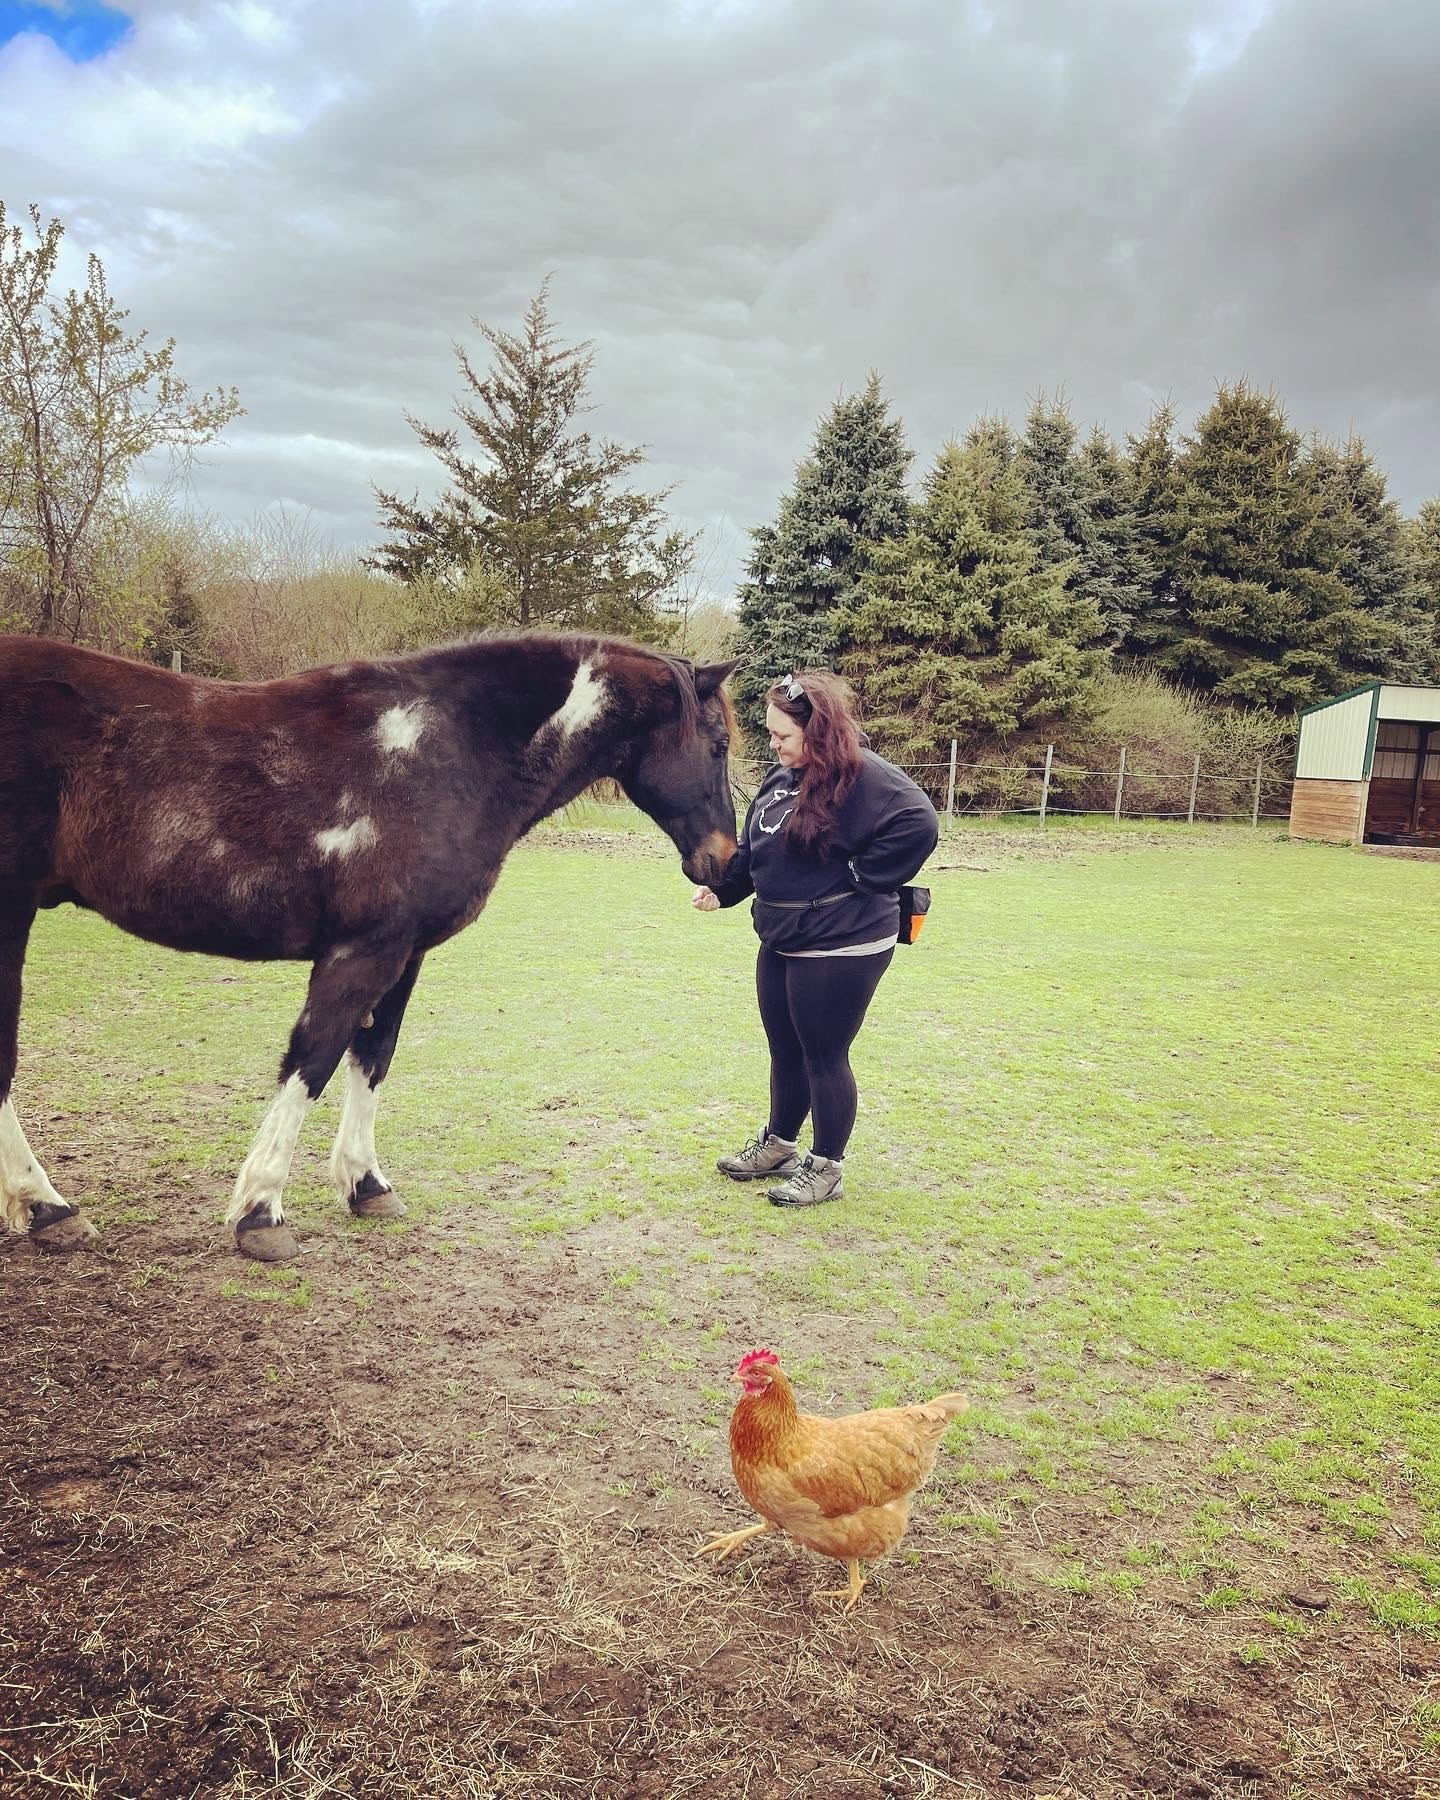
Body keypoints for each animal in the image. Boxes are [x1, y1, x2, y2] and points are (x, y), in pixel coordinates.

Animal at [0, 632, 740, 1262]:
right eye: (719, 744)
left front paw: (365, 1185)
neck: (446, 752)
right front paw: (261, 1213)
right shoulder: (364, 949)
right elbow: (315, 1059)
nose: (725, 863)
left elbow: (372, 1056)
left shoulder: (405, 952)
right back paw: (46, 1207)